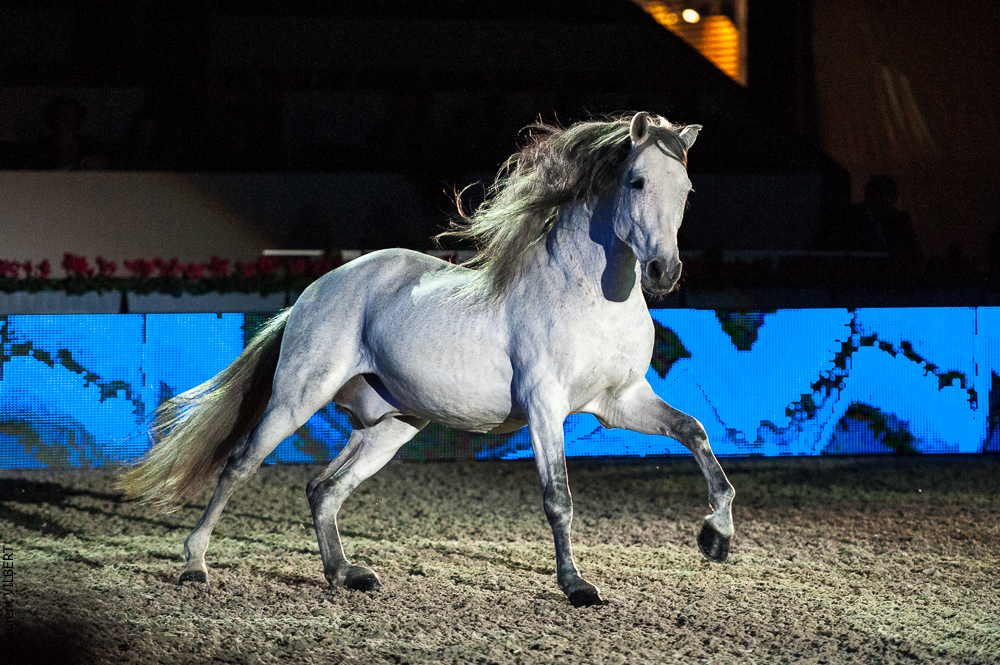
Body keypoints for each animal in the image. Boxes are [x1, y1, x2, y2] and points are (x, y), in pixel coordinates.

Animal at [120, 112, 735, 607]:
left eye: (686, 188)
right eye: (637, 181)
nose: (664, 272)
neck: (588, 292)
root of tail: (316, 289)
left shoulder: (621, 401)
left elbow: (695, 432)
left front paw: (717, 536)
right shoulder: (546, 407)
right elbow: (558, 497)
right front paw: (577, 586)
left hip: (392, 424)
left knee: (324, 490)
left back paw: (346, 574)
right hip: (298, 397)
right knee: (240, 464)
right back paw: (195, 565)